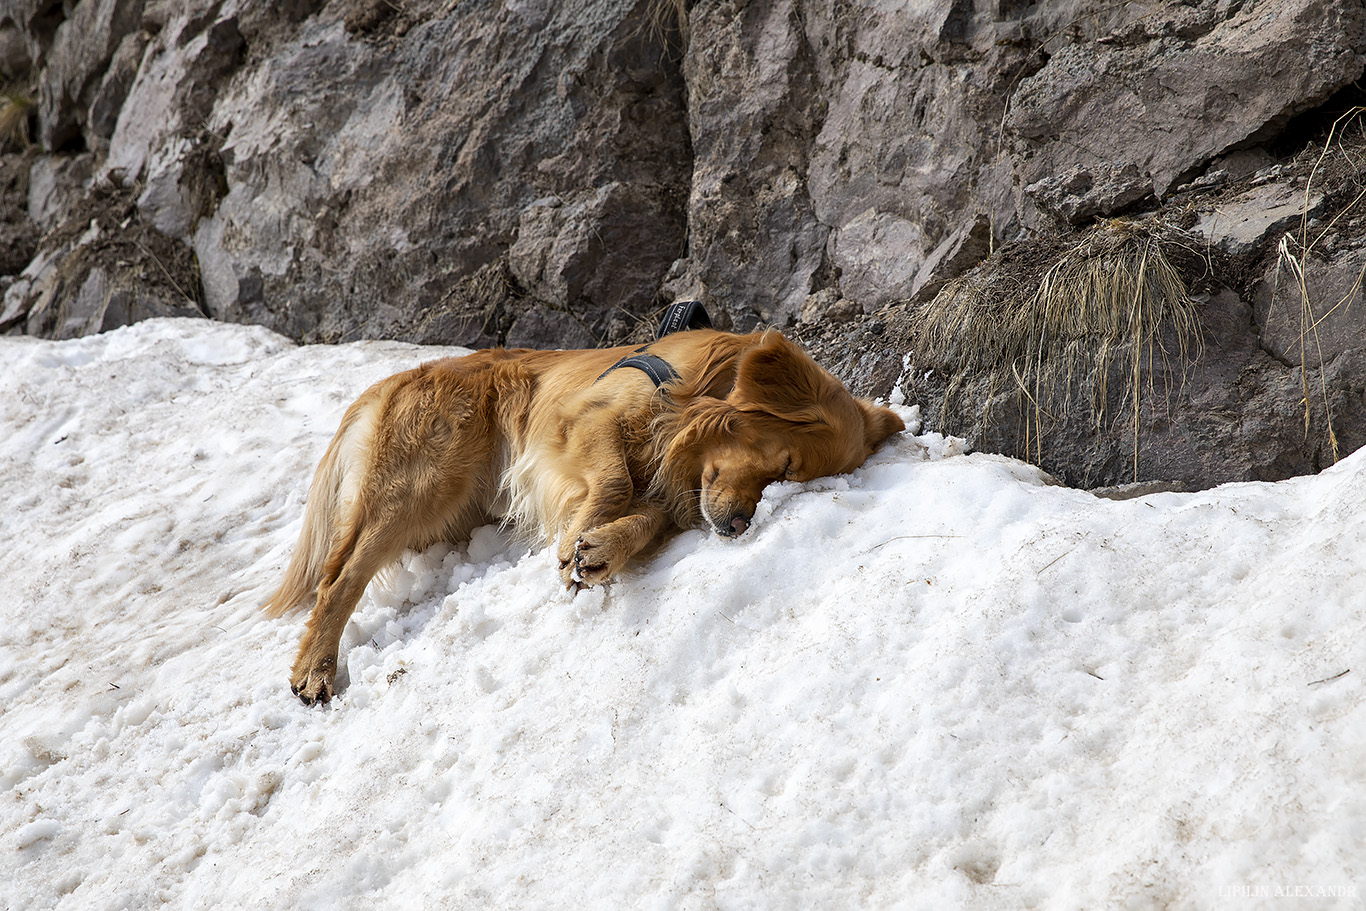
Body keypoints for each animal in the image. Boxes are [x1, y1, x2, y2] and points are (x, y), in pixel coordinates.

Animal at [266, 327, 907, 704]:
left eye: (786, 481)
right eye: (785, 463)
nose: (737, 528)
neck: (695, 392)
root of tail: (393, 379)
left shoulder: (673, 491)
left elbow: (643, 519)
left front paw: (599, 552)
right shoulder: (584, 419)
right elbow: (616, 478)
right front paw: (580, 532)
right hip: (423, 484)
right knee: (339, 578)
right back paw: (316, 667)